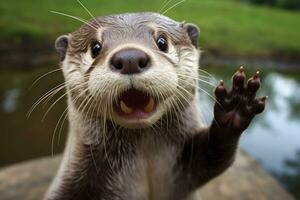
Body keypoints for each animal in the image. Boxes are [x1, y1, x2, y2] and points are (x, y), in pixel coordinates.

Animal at [45, 12, 268, 200]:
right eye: (95, 47)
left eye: (162, 42)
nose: (130, 58)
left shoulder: (184, 169)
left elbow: (216, 158)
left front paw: (235, 107)